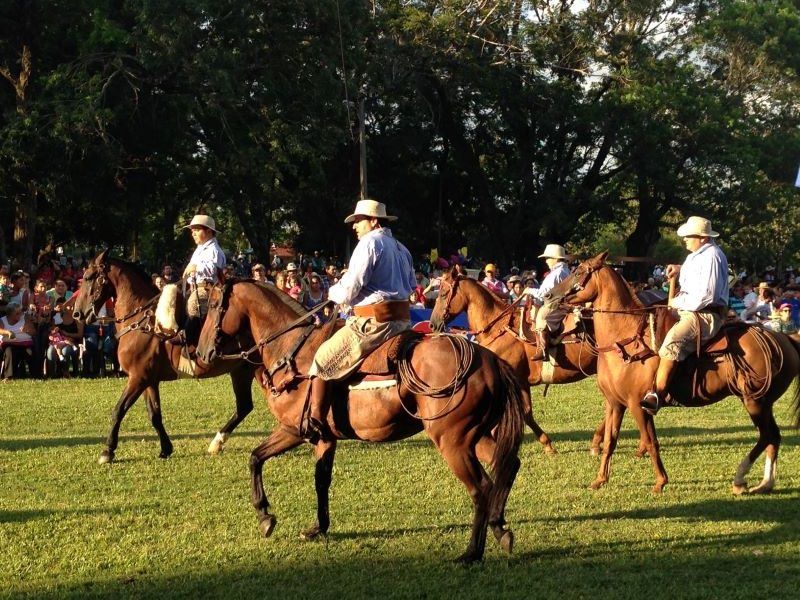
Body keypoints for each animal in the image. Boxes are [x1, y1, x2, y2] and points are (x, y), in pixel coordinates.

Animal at [73, 248, 256, 464]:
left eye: (88, 277)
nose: (77, 313)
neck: (142, 323)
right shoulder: (148, 380)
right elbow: (154, 414)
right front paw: (166, 448)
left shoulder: (137, 378)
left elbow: (119, 410)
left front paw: (108, 451)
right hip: (243, 370)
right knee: (244, 406)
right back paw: (217, 443)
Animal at [197, 278, 528, 564]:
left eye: (212, 304)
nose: (201, 352)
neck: (291, 351)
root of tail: (489, 361)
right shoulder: (324, 438)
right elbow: (321, 480)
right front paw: (318, 527)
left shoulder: (293, 430)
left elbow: (255, 458)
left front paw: (265, 516)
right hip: (475, 435)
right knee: (508, 465)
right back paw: (500, 528)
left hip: (452, 441)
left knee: (482, 487)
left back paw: (472, 552)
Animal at [548, 250, 800, 492]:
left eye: (579, 271)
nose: (549, 296)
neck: (625, 340)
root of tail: (784, 339)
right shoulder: (614, 403)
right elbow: (610, 441)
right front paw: (600, 479)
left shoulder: (637, 405)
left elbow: (651, 441)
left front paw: (660, 482)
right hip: (763, 403)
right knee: (773, 437)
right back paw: (765, 483)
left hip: (755, 401)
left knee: (767, 435)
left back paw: (740, 479)